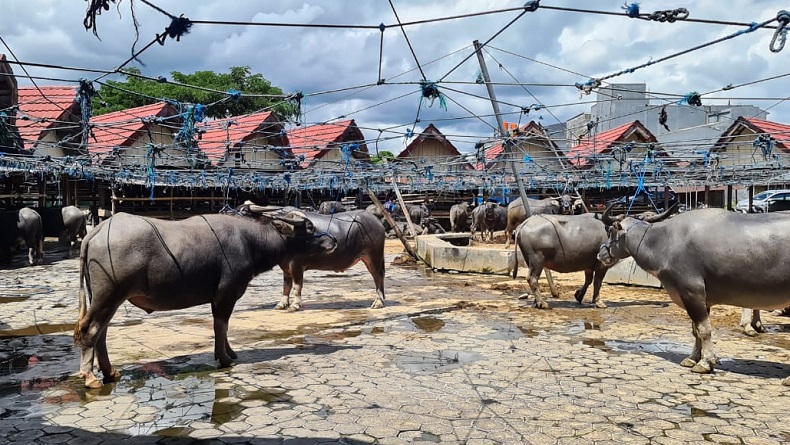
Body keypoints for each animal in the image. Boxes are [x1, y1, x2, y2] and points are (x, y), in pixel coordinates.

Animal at [72, 210, 336, 386]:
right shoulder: (227, 294)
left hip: (106, 299)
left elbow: (224, 327)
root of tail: (97, 231)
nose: (332, 240)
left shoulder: (218, 298)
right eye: (309, 227)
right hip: (108, 296)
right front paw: (224, 358)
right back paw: (90, 376)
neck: (249, 242)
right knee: (91, 330)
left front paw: (229, 352)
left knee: (102, 332)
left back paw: (110, 372)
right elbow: (221, 325)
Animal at [238, 203, 386, 310]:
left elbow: (297, 286)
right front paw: (281, 304)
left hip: (373, 257)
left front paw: (295, 305)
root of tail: (376, 221)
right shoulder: (285, 267)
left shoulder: (296, 265)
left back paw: (378, 302)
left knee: (378, 276)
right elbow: (286, 286)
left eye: (244, 212)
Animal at [600, 206, 790, 384]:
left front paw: (706, 362)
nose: (600, 254)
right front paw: (692, 358)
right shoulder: (702, 299)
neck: (663, 242)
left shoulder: (691, 292)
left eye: (610, 231)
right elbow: (696, 330)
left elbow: (704, 330)